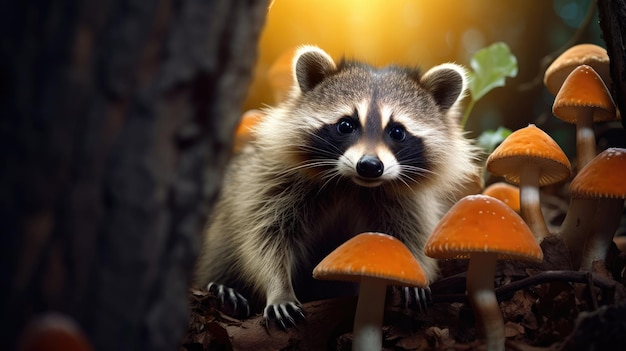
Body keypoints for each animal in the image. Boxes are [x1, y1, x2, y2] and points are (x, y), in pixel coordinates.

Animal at [195, 45, 478, 328]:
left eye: (397, 132)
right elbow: (265, 237)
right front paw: (278, 288)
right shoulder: (273, 182)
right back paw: (226, 289)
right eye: (345, 125)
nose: (370, 166)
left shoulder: (406, 200)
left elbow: (412, 234)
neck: (353, 184)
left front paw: (415, 271)